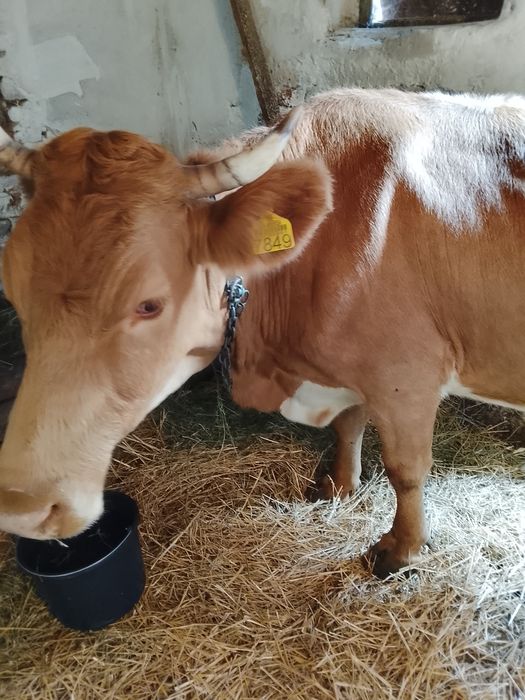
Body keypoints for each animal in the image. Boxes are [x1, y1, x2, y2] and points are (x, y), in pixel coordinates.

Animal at [0, 88, 524, 578]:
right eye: (12, 290)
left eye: (149, 304)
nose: (24, 507)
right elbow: (348, 424)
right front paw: (338, 485)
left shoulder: (406, 374)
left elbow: (406, 470)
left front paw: (401, 551)